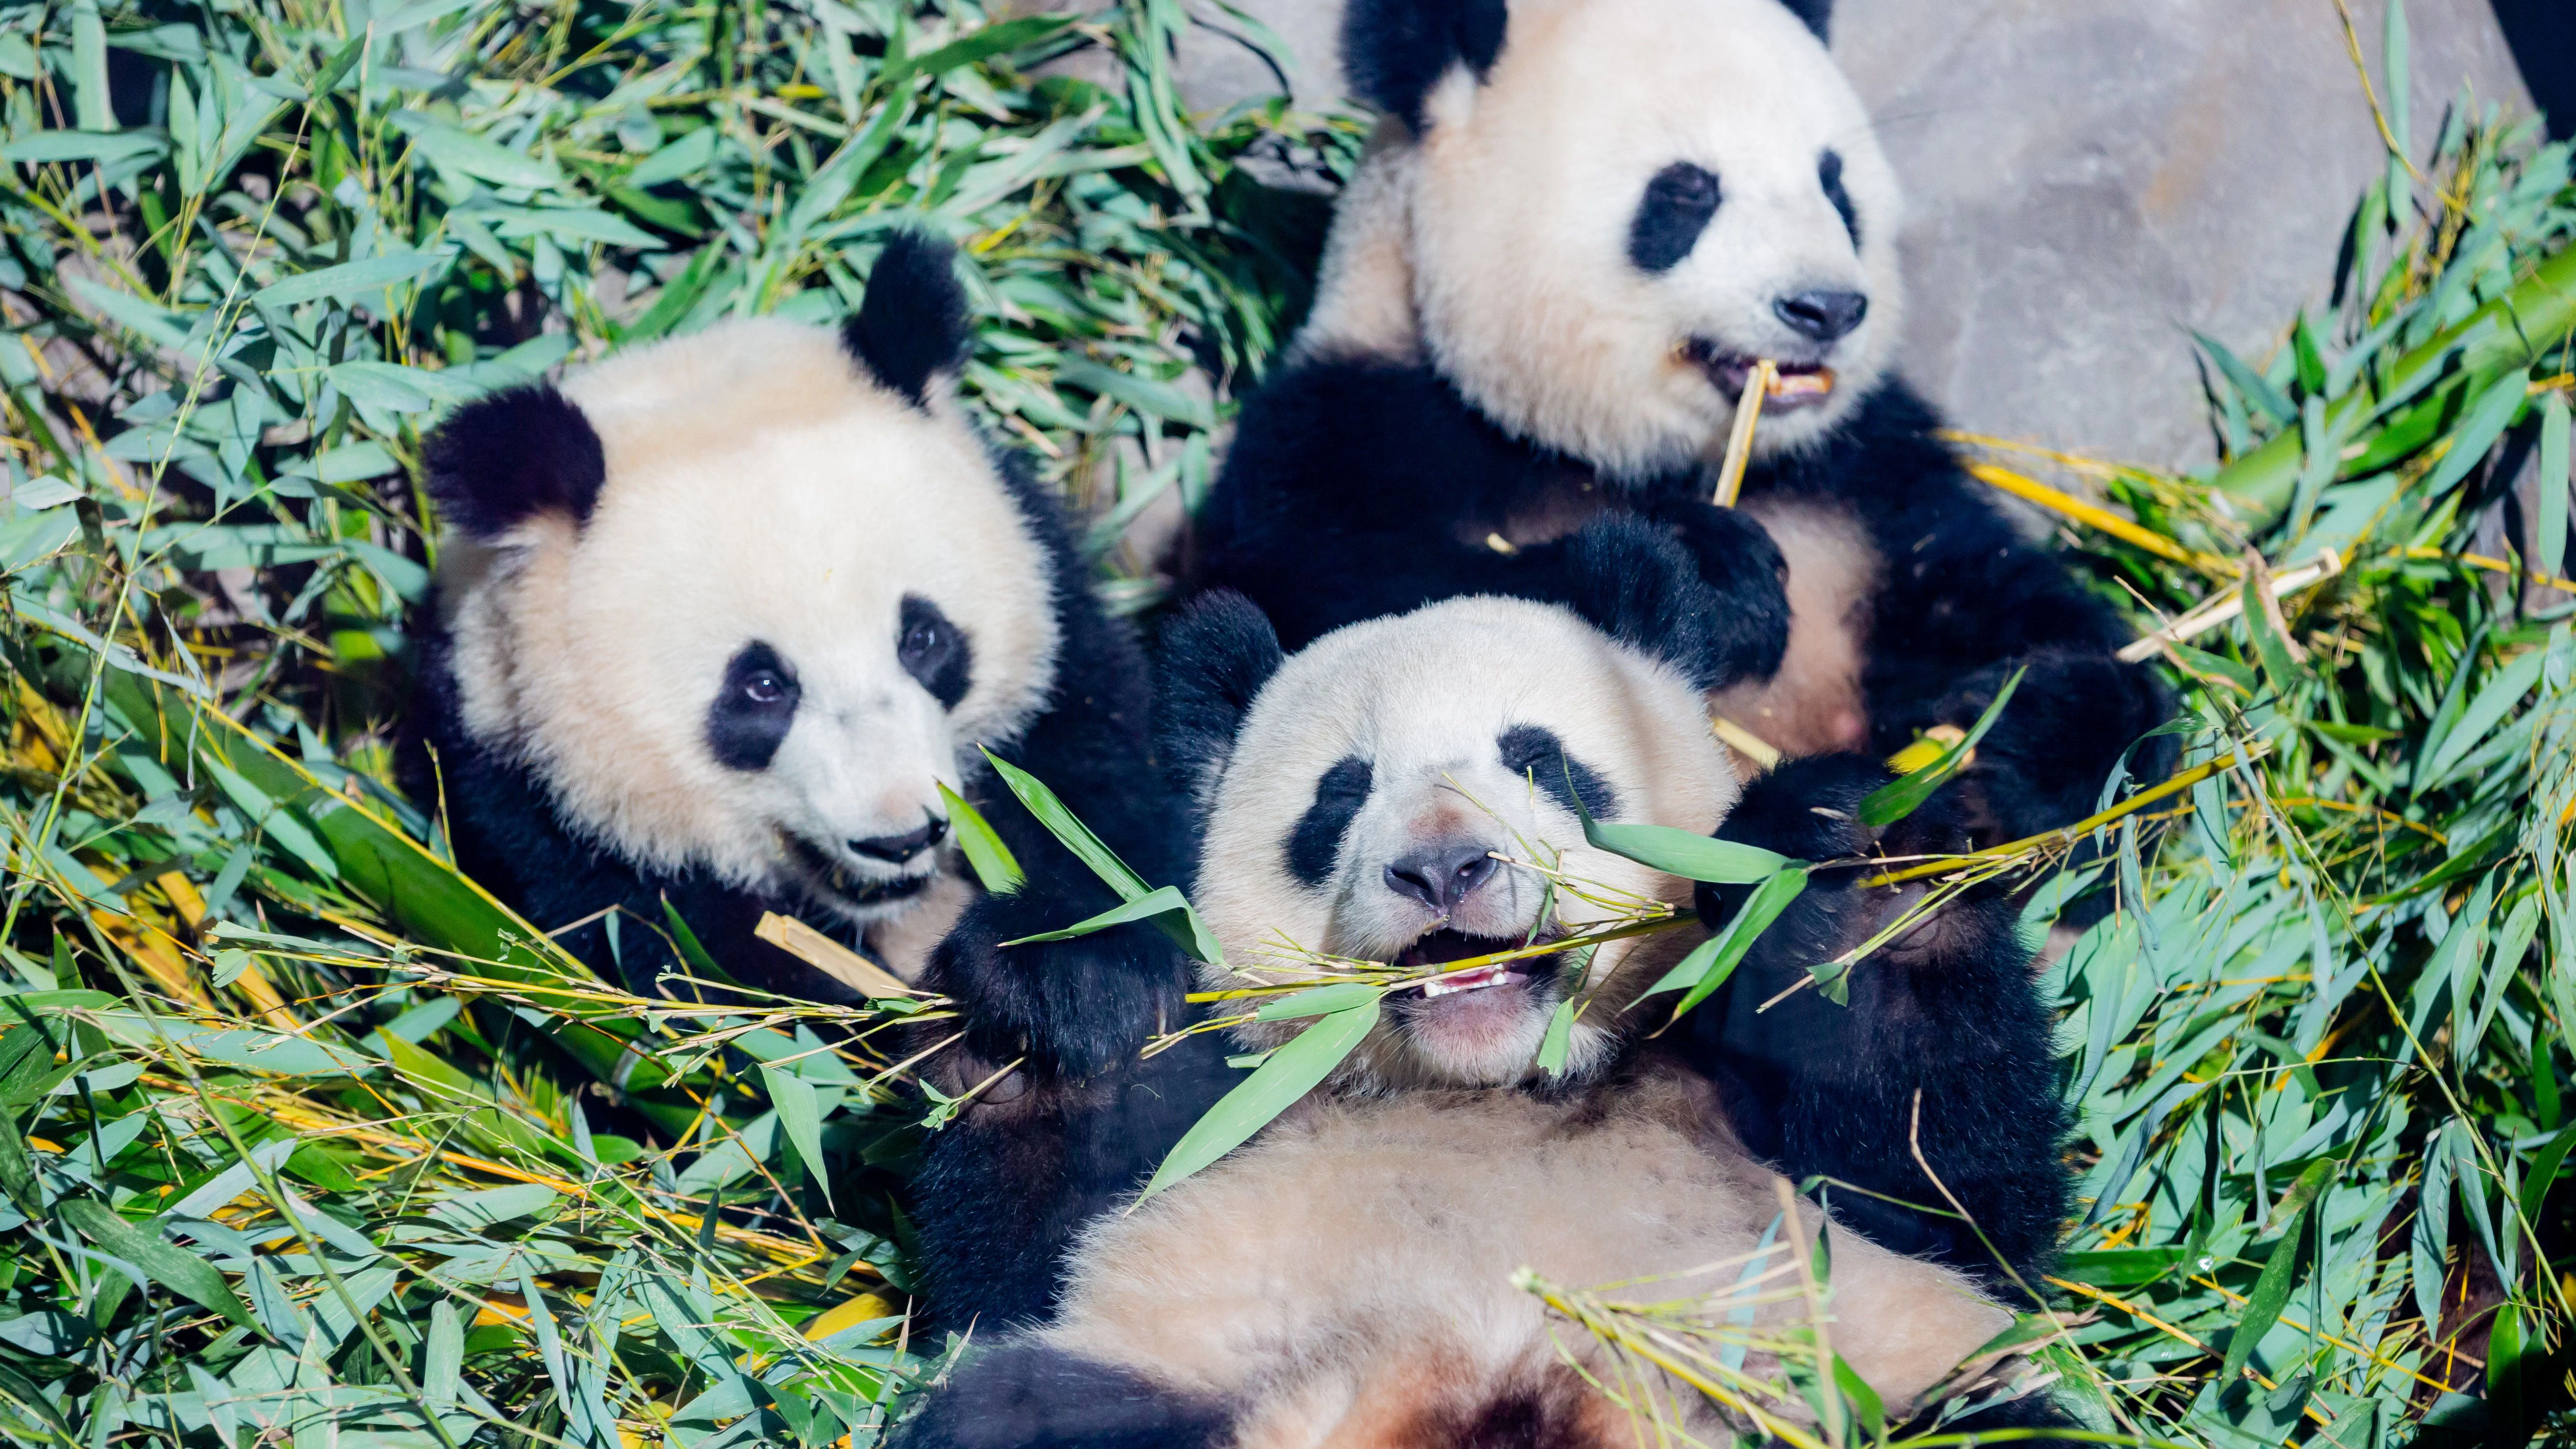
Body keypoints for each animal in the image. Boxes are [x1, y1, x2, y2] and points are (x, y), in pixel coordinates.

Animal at [409, 233, 1188, 1078]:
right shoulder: (535, 805)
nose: (899, 838)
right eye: (759, 687)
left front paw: (1064, 978)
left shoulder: (1065, 656)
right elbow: (747, 1014)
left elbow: (1109, 826)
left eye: (923, 639)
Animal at [895, 526, 2078, 1448]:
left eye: (1539, 758)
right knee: (1024, 1406)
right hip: (1180, 1372)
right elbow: (1021, 1262)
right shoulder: (1227, 1118)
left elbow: (1942, 1189)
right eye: (1342, 792)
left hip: (1855, 1387)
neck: (1496, 1084)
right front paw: (1063, 990)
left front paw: (1842, 864)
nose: (1443, 869)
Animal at [1188, 0, 2172, 853]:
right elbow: (1342, 606)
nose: (1826, 307)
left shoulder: (1867, 472)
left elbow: (1989, 594)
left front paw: (2042, 725)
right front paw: (1712, 577)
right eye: (1688, 192)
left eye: (1835, 186)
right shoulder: (1352, 429)